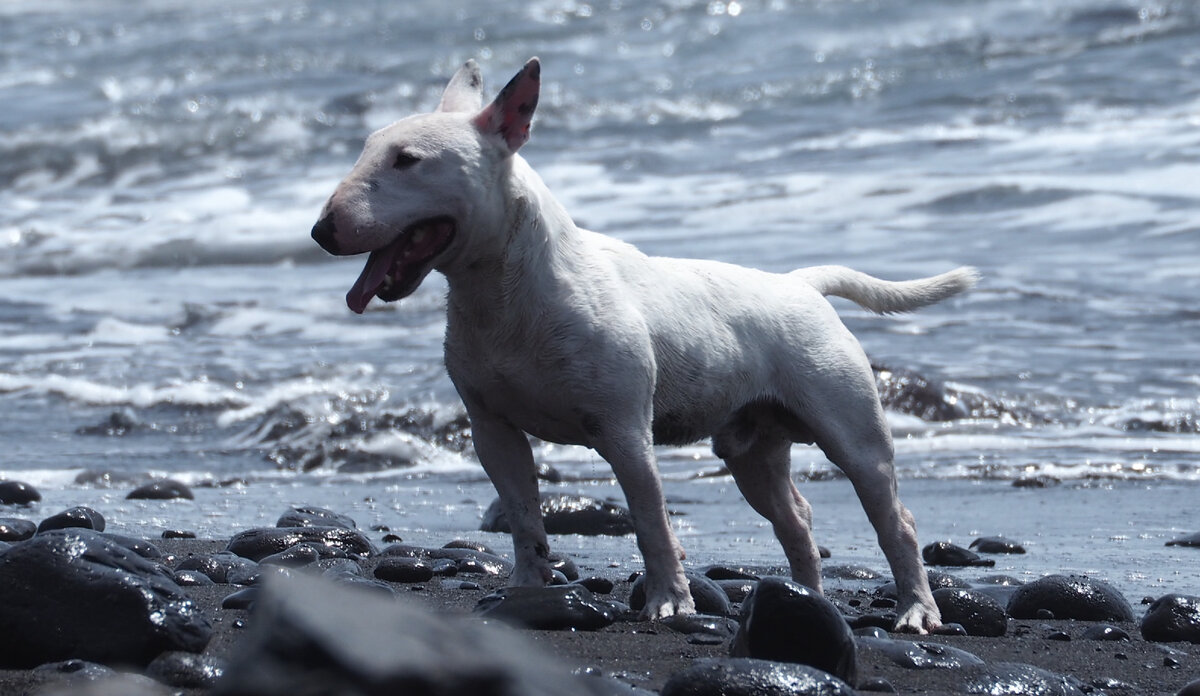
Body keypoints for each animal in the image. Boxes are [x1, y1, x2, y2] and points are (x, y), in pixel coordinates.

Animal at [312, 58, 974, 628]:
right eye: (367, 148)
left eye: (407, 160)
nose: (320, 231)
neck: (505, 287)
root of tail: (801, 284)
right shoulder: (492, 430)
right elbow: (524, 517)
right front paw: (525, 590)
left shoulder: (624, 429)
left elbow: (652, 520)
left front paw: (669, 602)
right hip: (751, 452)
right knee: (796, 520)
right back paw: (807, 601)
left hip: (852, 433)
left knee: (896, 522)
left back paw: (917, 610)